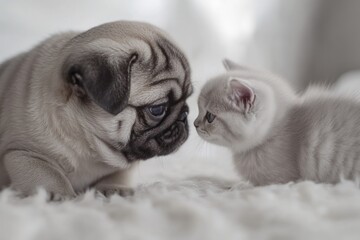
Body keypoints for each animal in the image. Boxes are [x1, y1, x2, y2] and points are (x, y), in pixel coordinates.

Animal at [0, 20, 193, 198]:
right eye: (157, 109)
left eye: (188, 98)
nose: (184, 115)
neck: (90, 145)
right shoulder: (24, 154)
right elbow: (49, 175)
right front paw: (58, 195)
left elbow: (119, 174)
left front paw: (115, 189)